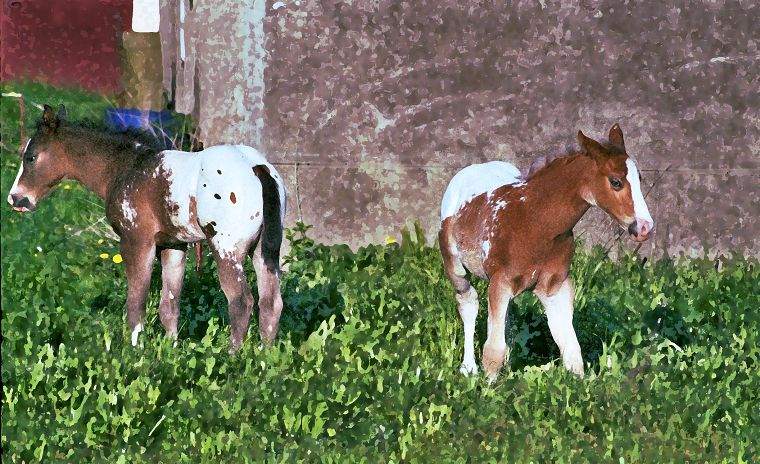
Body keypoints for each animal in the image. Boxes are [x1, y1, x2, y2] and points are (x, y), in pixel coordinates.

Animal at [7, 105, 287, 352]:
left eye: (31, 157)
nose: (15, 199)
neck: (125, 168)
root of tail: (257, 167)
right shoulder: (173, 246)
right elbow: (169, 306)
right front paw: (171, 352)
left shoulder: (136, 241)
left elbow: (136, 303)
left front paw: (136, 352)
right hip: (264, 252)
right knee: (271, 303)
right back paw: (265, 357)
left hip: (226, 249)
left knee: (241, 302)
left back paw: (233, 357)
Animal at [439, 124, 654, 379]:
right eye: (616, 182)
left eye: (640, 179)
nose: (644, 227)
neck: (535, 221)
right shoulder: (500, 282)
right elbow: (493, 350)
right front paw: (488, 386)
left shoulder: (555, 287)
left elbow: (570, 347)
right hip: (456, 268)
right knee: (468, 304)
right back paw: (468, 368)